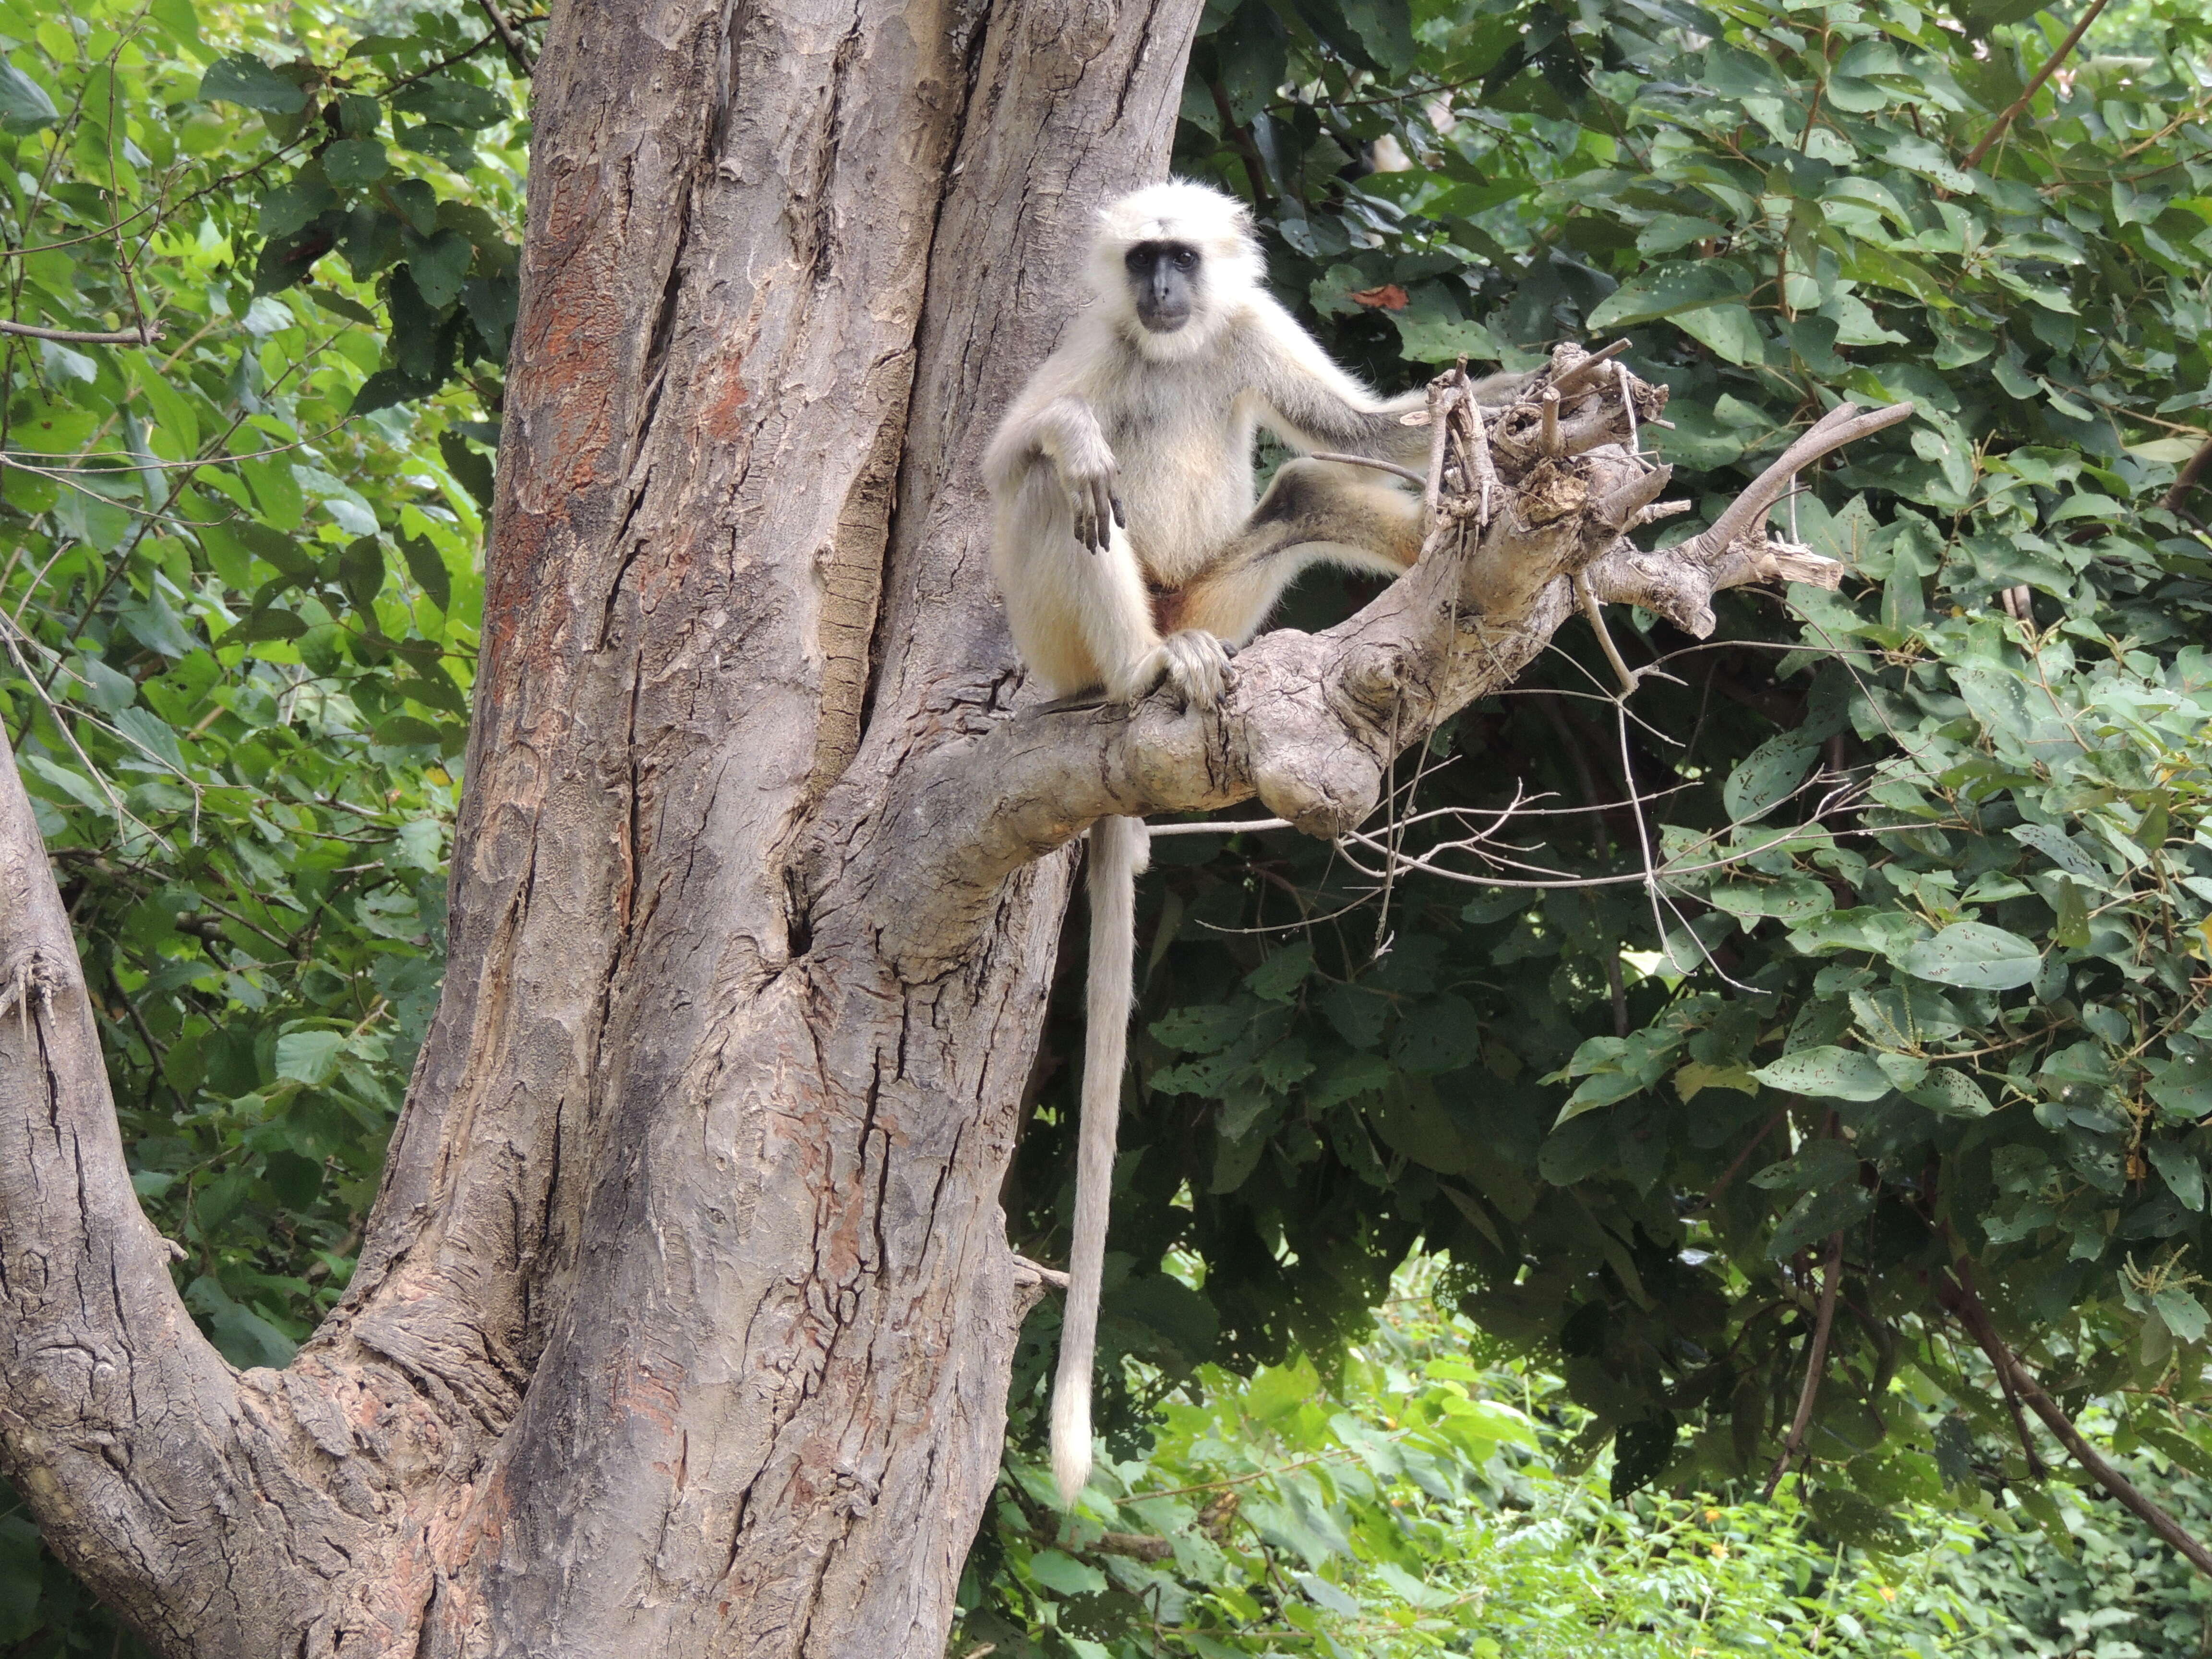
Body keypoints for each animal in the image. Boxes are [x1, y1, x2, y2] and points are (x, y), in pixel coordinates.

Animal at [986, 179, 1451, 1504]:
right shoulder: (1098, 345)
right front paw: (1073, 441)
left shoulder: (1245, 329)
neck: (1176, 349)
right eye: (1144, 259)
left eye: (1181, 262)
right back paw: (1143, 669)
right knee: (1054, 496)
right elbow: (1009, 453)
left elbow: (1369, 433)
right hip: (1062, 631)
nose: (1158, 291)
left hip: (1216, 589)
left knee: (1307, 494)